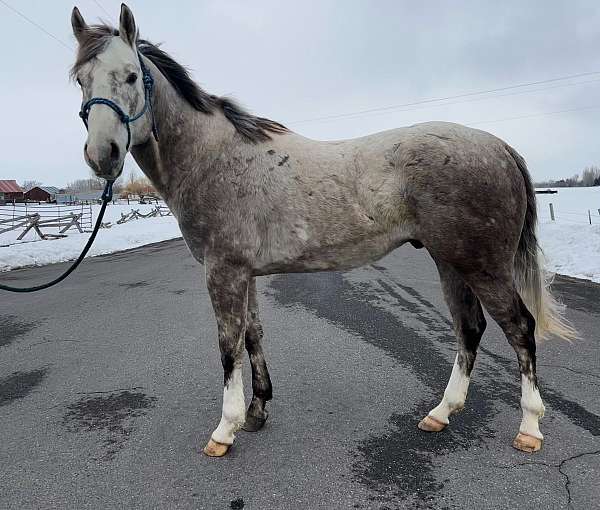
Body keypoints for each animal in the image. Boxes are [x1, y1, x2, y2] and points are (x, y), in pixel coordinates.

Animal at [68, 4, 576, 458]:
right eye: (80, 80)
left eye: (131, 76)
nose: (102, 155)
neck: (214, 158)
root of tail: (499, 147)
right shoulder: (244, 273)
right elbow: (252, 335)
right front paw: (257, 412)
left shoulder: (223, 272)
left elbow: (228, 345)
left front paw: (225, 430)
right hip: (450, 261)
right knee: (470, 328)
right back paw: (440, 413)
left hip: (482, 265)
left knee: (519, 328)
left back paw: (529, 427)